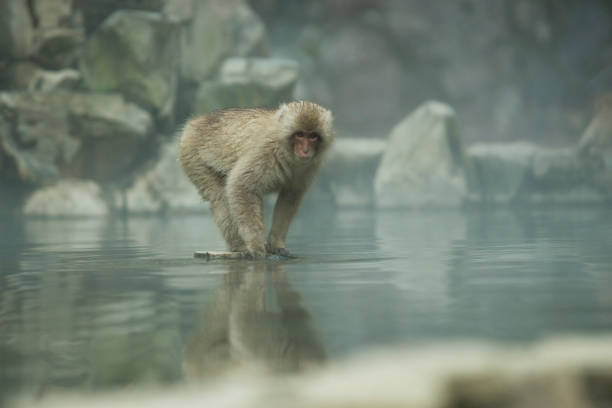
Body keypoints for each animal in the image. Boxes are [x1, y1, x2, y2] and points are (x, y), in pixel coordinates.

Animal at [179, 101, 334, 258]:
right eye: (300, 134)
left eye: (313, 136)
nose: (306, 150)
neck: (285, 147)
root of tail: (195, 122)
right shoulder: (264, 151)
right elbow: (242, 186)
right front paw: (256, 245)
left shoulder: (311, 165)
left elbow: (291, 196)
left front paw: (276, 243)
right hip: (192, 153)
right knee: (218, 197)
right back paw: (239, 246)